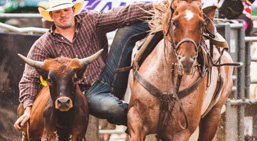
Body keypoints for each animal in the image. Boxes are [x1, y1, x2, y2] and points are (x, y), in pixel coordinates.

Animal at [127, 0, 233, 140]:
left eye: (201, 23)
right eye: (175, 22)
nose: (187, 61)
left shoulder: (181, 133)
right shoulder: (136, 119)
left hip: (213, 115)